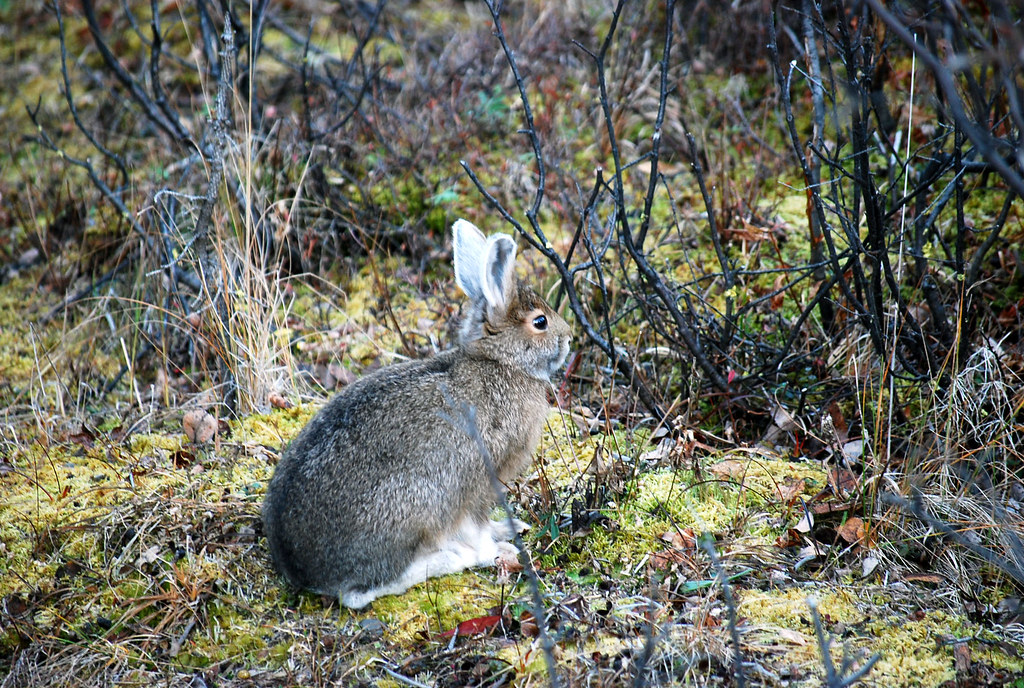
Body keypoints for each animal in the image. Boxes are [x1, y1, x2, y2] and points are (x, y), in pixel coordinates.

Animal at [262, 219, 572, 609]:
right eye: (540, 322)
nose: (570, 337)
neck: (500, 361)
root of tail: (301, 570)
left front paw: (510, 528)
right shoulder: (478, 482)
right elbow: (477, 527)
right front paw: (495, 551)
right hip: (414, 509)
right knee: (358, 594)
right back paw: (451, 558)